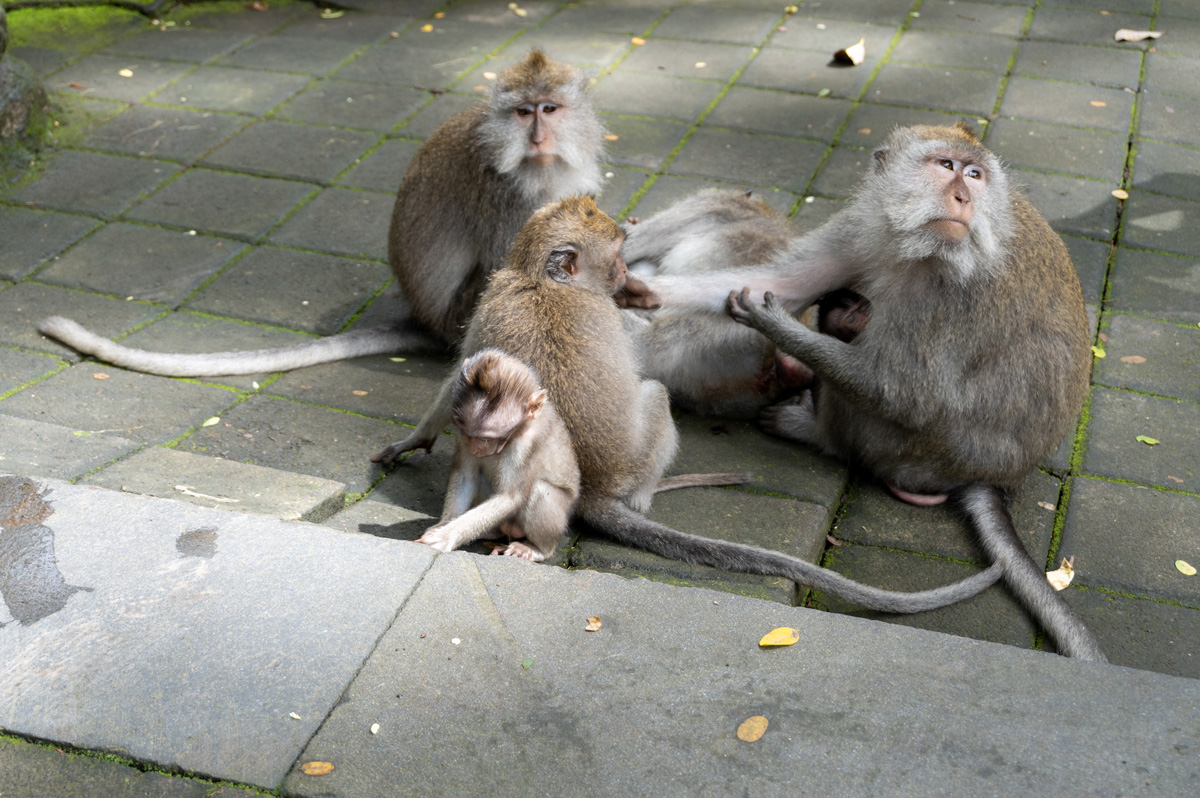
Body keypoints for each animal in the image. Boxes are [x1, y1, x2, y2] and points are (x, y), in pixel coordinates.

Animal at [37, 49, 658, 377]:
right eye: (524, 112)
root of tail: (425, 320)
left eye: (550, 109)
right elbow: (522, 268)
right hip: (460, 317)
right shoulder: (507, 195)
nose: (538, 136)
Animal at [380, 195, 1004, 612]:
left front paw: (413, 439)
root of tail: (599, 489)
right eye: (616, 255)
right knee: (655, 394)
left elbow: (454, 380)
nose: (625, 274)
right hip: (639, 453)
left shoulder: (491, 301)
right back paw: (647, 496)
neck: (543, 281)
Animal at [641, 123, 1103, 660]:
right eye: (947, 166)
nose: (964, 196)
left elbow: (902, 394)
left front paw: (774, 324)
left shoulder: (947, 295)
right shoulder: (861, 224)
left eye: (975, 174)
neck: (914, 245)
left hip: (909, 453)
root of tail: (997, 477)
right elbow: (780, 279)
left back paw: (812, 429)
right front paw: (632, 286)